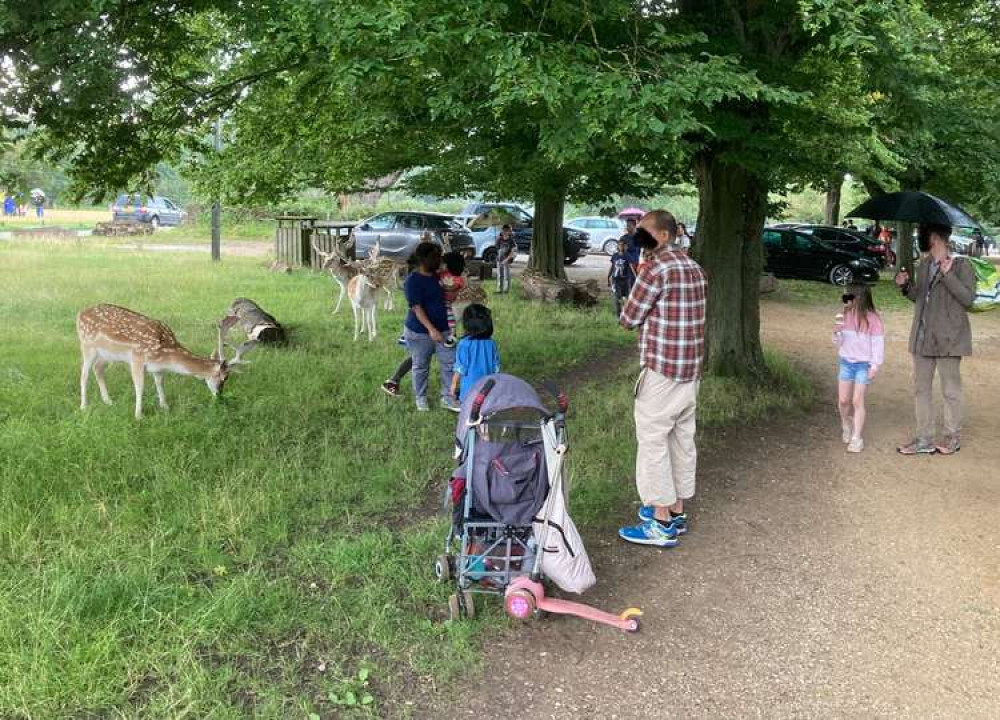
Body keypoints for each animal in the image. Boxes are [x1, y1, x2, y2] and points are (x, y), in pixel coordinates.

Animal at [78, 306, 258, 420]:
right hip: (87, 345)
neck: (166, 355)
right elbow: (140, 387)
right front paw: (138, 415)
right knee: (84, 374)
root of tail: (80, 313)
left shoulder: (157, 368)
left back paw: (108, 401)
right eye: (224, 378)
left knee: (98, 369)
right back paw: (84, 406)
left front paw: (164, 407)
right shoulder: (137, 358)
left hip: (107, 354)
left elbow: (160, 383)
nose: (219, 396)